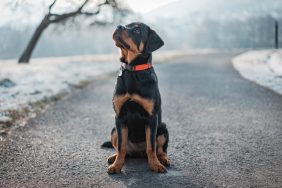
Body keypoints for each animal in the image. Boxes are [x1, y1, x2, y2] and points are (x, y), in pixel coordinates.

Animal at [103, 22, 170, 173]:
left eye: (137, 30)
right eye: (127, 25)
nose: (119, 26)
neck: (133, 70)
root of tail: (138, 153)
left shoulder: (152, 118)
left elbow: (151, 146)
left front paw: (155, 165)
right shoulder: (120, 117)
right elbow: (121, 146)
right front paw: (116, 166)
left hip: (163, 128)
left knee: (160, 149)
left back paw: (163, 159)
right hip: (114, 130)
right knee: (122, 149)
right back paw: (113, 157)